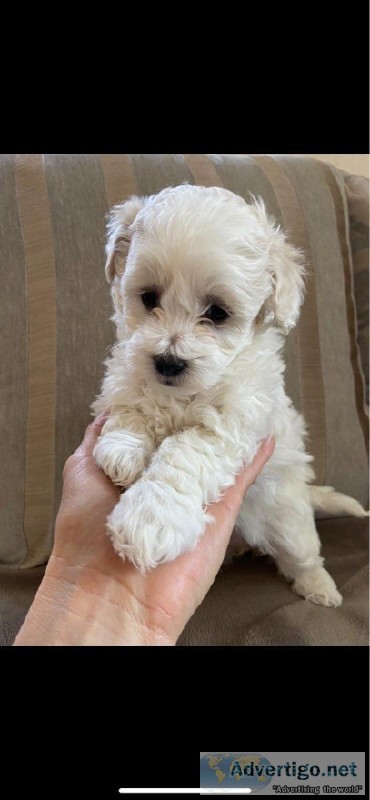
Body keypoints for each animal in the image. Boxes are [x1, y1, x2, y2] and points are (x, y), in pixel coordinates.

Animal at [93, 186, 368, 608]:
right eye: (149, 298)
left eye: (217, 312)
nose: (168, 362)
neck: (182, 394)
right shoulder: (127, 372)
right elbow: (130, 403)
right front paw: (123, 448)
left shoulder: (233, 420)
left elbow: (183, 454)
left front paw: (150, 518)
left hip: (288, 519)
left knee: (303, 555)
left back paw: (321, 588)